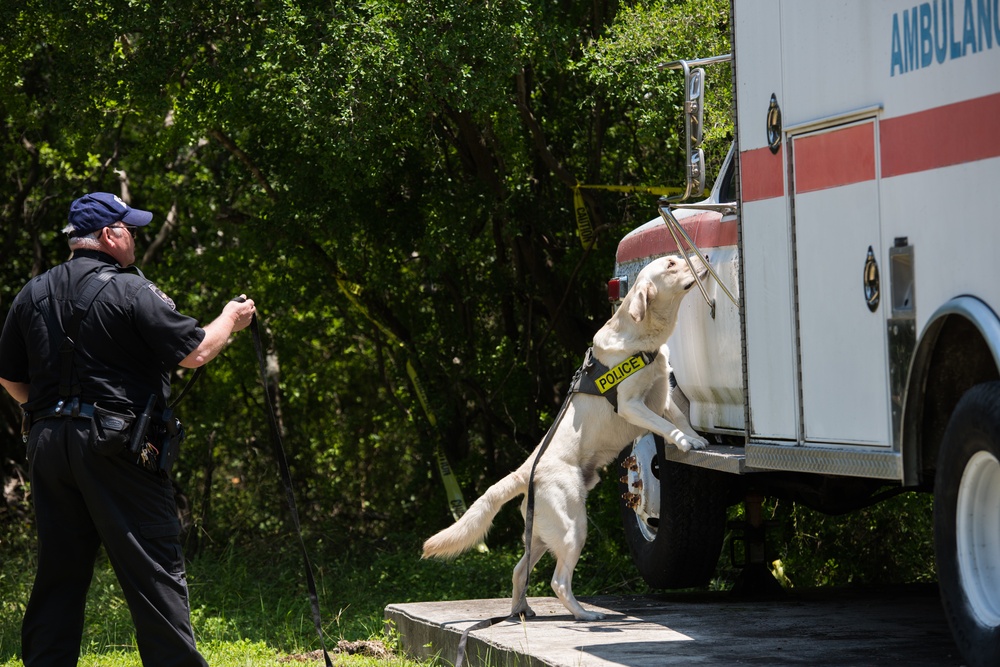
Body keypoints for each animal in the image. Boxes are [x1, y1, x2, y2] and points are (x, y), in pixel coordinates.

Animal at [422, 254, 712, 620]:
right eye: (672, 264)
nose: (703, 258)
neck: (642, 339)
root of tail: (525, 471)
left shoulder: (664, 395)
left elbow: (680, 420)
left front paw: (694, 438)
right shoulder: (632, 405)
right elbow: (663, 426)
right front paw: (683, 441)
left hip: (541, 535)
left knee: (519, 571)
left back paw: (521, 610)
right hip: (573, 528)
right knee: (558, 581)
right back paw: (585, 614)